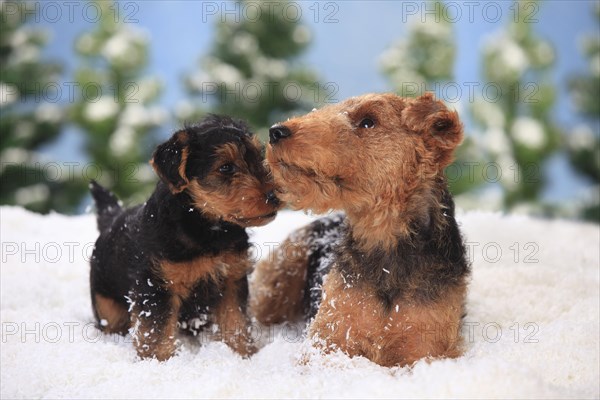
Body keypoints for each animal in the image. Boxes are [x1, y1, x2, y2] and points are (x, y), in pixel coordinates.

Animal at [89, 114, 282, 360]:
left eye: (257, 156)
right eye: (226, 167)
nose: (275, 195)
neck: (205, 225)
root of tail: (113, 218)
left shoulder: (231, 279)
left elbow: (235, 322)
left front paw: (242, 353)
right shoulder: (156, 286)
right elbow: (157, 331)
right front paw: (159, 361)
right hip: (106, 303)